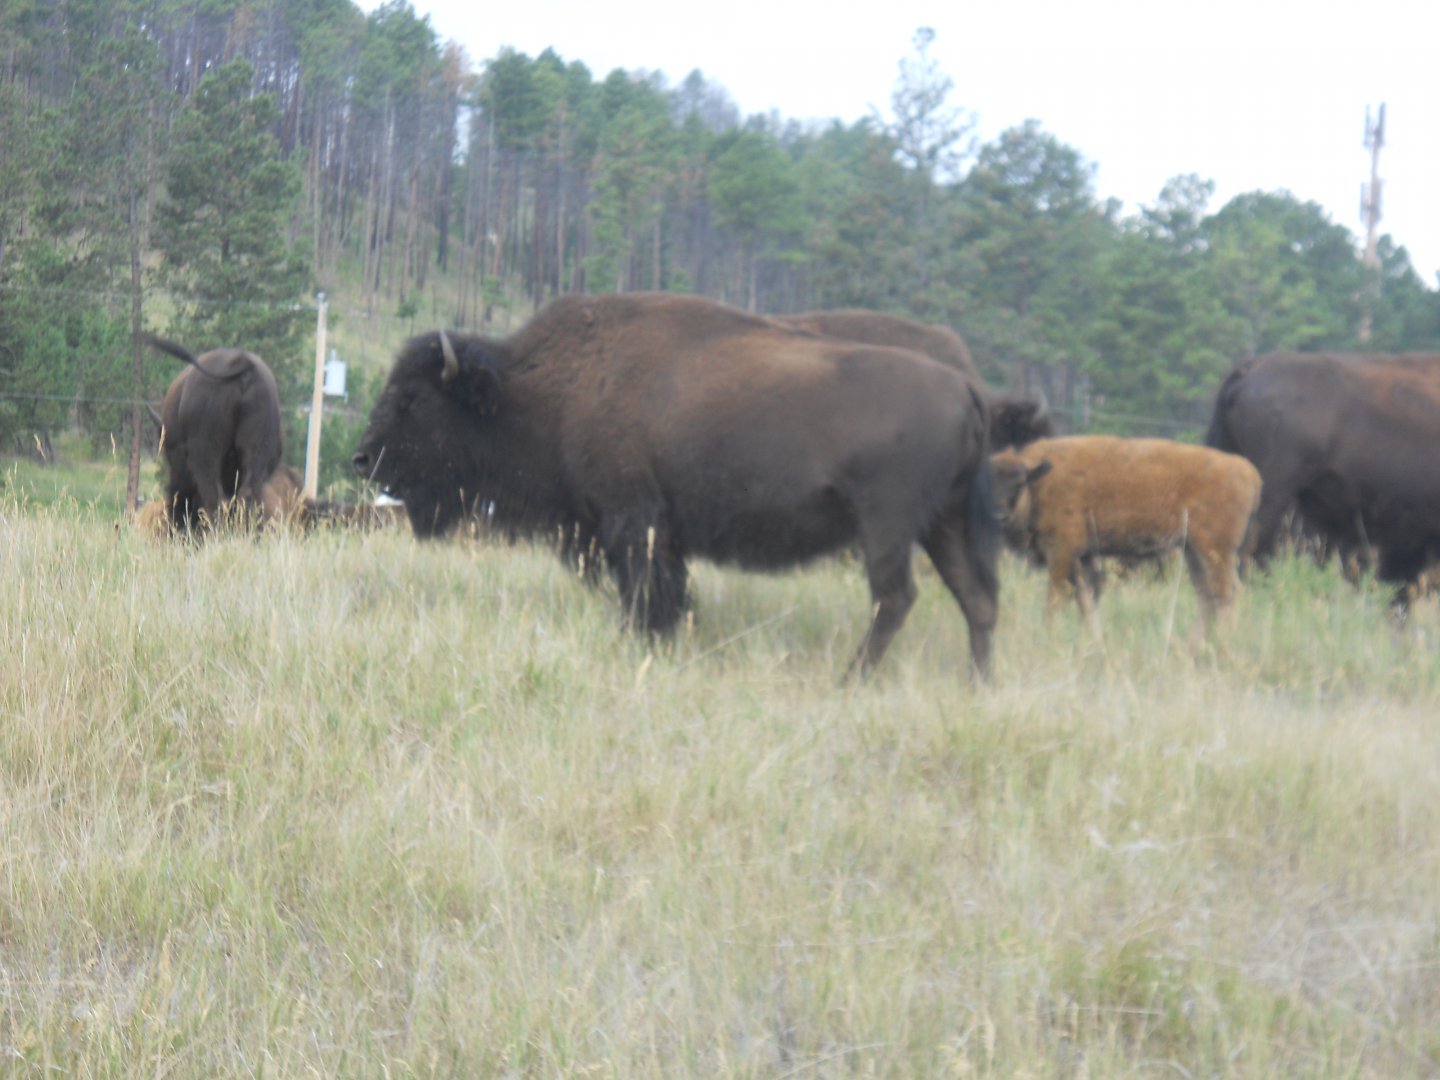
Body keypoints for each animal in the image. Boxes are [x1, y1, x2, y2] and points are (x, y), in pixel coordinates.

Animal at [142, 334, 285, 531]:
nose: (174, 523)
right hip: (256, 459)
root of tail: (244, 364)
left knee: (214, 500)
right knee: (247, 496)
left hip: (207, 458)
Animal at [352, 293, 1000, 675]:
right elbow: (667, 593)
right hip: (941, 525)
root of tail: (968, 388)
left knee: (896, 599)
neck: (535, 391)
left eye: (414, 400)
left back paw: (851, 678)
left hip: (886, 529)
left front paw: (642, 644)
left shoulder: (634, 522)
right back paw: (978, 684)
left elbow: (647, 593)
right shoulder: (648, 534)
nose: (362, 458)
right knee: (977, 600)